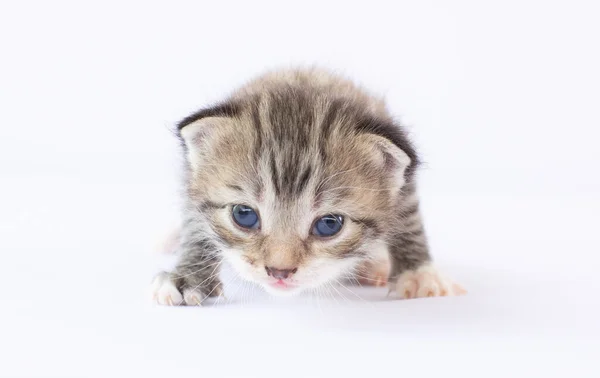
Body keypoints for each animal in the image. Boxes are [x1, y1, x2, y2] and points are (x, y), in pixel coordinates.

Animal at [150, 67, 464, 304]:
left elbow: (410, 219)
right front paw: (188, 277)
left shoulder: (404, 183)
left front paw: (419, 274)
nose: (279, 271)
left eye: (329, 224)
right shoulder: (191, 177)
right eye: (244, 215)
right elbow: (195, 224)